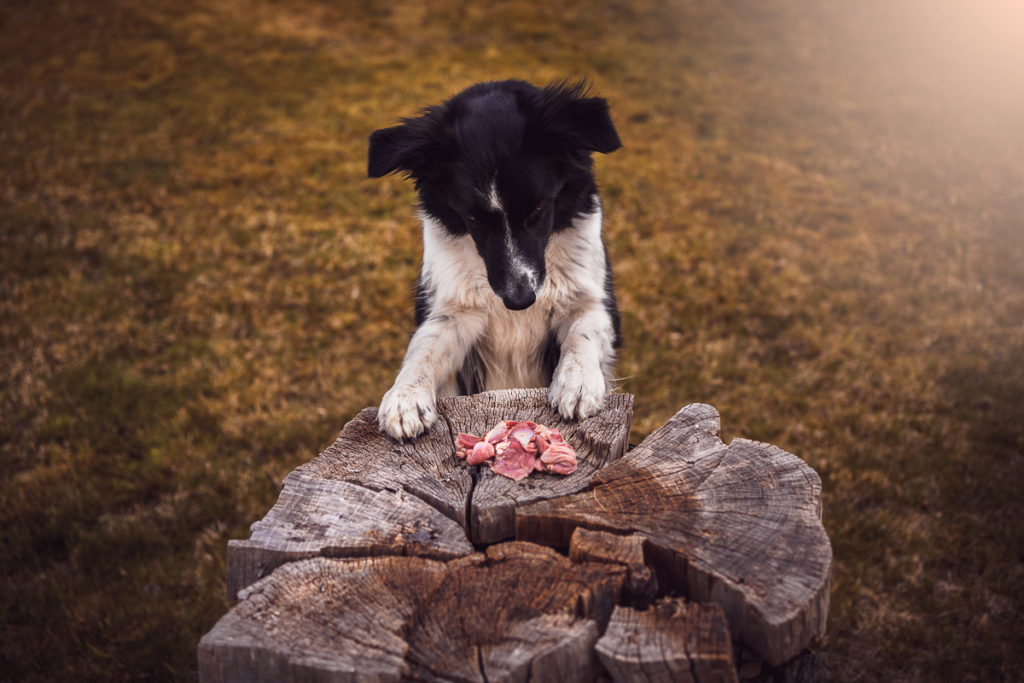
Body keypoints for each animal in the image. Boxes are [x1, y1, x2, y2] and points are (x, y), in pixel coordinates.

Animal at [370, 78, 622, 444]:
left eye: (538, 208)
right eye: (474, 218)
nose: (519, 301)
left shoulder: (593, 300)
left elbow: (582, 332)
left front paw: (578, 382)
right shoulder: (453, 313)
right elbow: (423, 350)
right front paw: (405, 399)